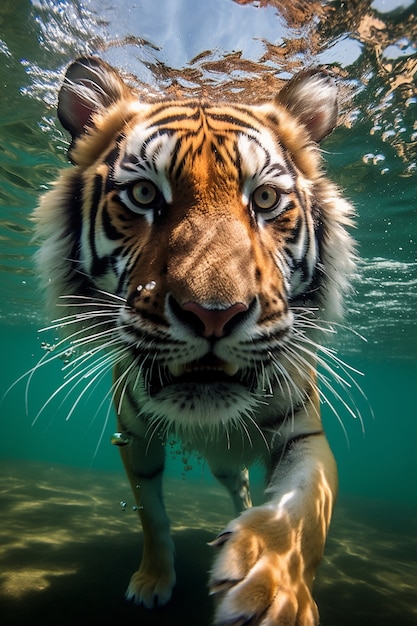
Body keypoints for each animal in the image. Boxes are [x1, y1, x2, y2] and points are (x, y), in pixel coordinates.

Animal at [33, 57, 354, 624]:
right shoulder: (134, 438)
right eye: (144, 195)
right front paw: (152, 581)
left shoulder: (303, 433)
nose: (213, 315)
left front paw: (272, 586)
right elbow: (153, 517)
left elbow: (302, 508)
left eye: (265, 198)